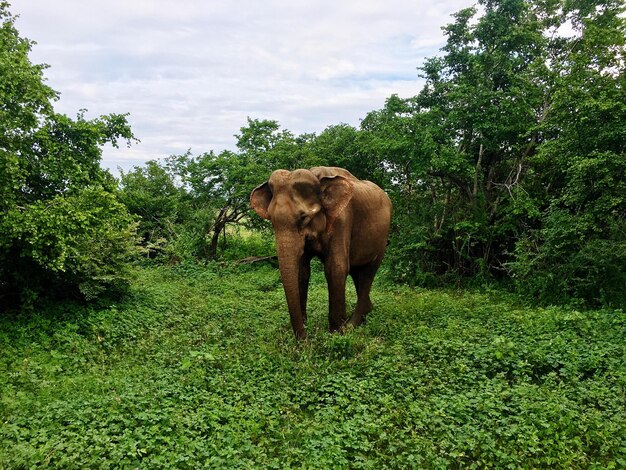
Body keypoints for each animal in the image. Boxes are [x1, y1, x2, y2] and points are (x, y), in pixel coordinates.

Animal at [249, 167, 390, 340]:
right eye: (272, 220)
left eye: (303, 218)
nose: (305, 340)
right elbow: (302, 271)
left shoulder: (342, 220)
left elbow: (336, 268)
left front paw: (336, 333)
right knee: (357, 272)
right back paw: (366, 312)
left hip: (382, 239)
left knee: (368, 272)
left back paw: (352, 324)